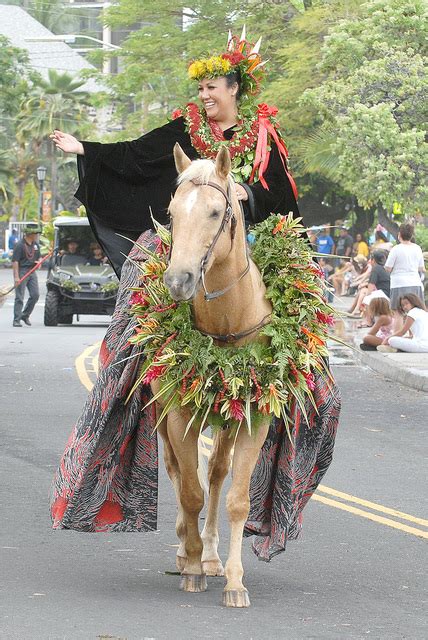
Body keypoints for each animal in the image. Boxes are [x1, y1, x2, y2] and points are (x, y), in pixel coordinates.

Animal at [154, 142, 272, 608]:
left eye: (215, 212)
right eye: (170, 213)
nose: (179, 280)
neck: (226, 325)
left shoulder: (255, 418)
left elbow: (237, 499)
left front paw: (235, 582)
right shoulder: (178, 414)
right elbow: (190, 490)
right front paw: (189, 567)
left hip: (226, 417)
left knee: (219, 473)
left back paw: (210, 554)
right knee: (178, 473)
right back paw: (188, 550)